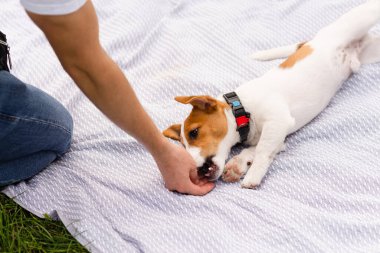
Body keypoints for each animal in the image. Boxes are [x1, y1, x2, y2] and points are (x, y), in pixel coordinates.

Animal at [163, 0, 380, 189]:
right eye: (183, 146)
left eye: (194, 132)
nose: (196, 171)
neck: (241, 109)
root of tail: (314, 40)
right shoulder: (278, 137)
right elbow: (257, 148)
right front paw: (238, 164)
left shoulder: (278, 119)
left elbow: (262, 150)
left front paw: (253, 174)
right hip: (372, 51)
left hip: (360, 19)